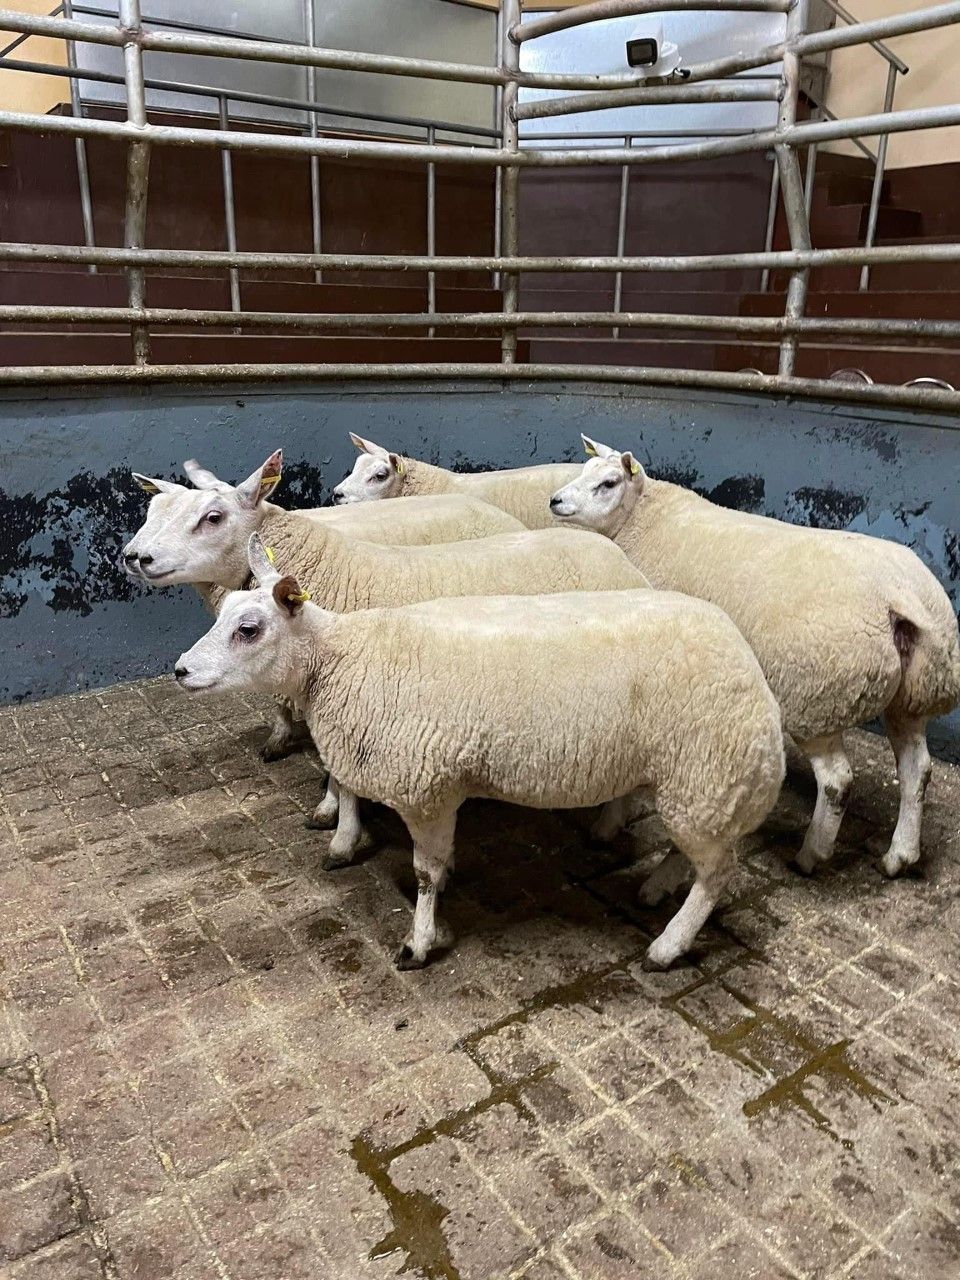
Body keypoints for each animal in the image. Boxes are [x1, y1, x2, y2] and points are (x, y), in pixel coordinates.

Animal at [174, 533, 786, 971]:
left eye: (249, 629)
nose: (180, 670)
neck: (343, 659)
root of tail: (742, 652)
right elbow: (354, 797)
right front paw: (352, 842)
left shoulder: (426, 789)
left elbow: (423, 874)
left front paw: (419, 941)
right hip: (696, 785)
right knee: (692, 854)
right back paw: (656, 889)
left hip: (706, 773)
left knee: (717, 874)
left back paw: (666, 947)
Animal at [550, 435, 960, 879]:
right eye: (583, 471)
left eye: (608, 483)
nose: (555, 501)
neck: (644, 521)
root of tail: (898, 595)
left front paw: (609, 824)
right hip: (913, 693)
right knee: (917, 770)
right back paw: (899, 855)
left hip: (817, 697)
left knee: (837, 781)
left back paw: (811, 855)